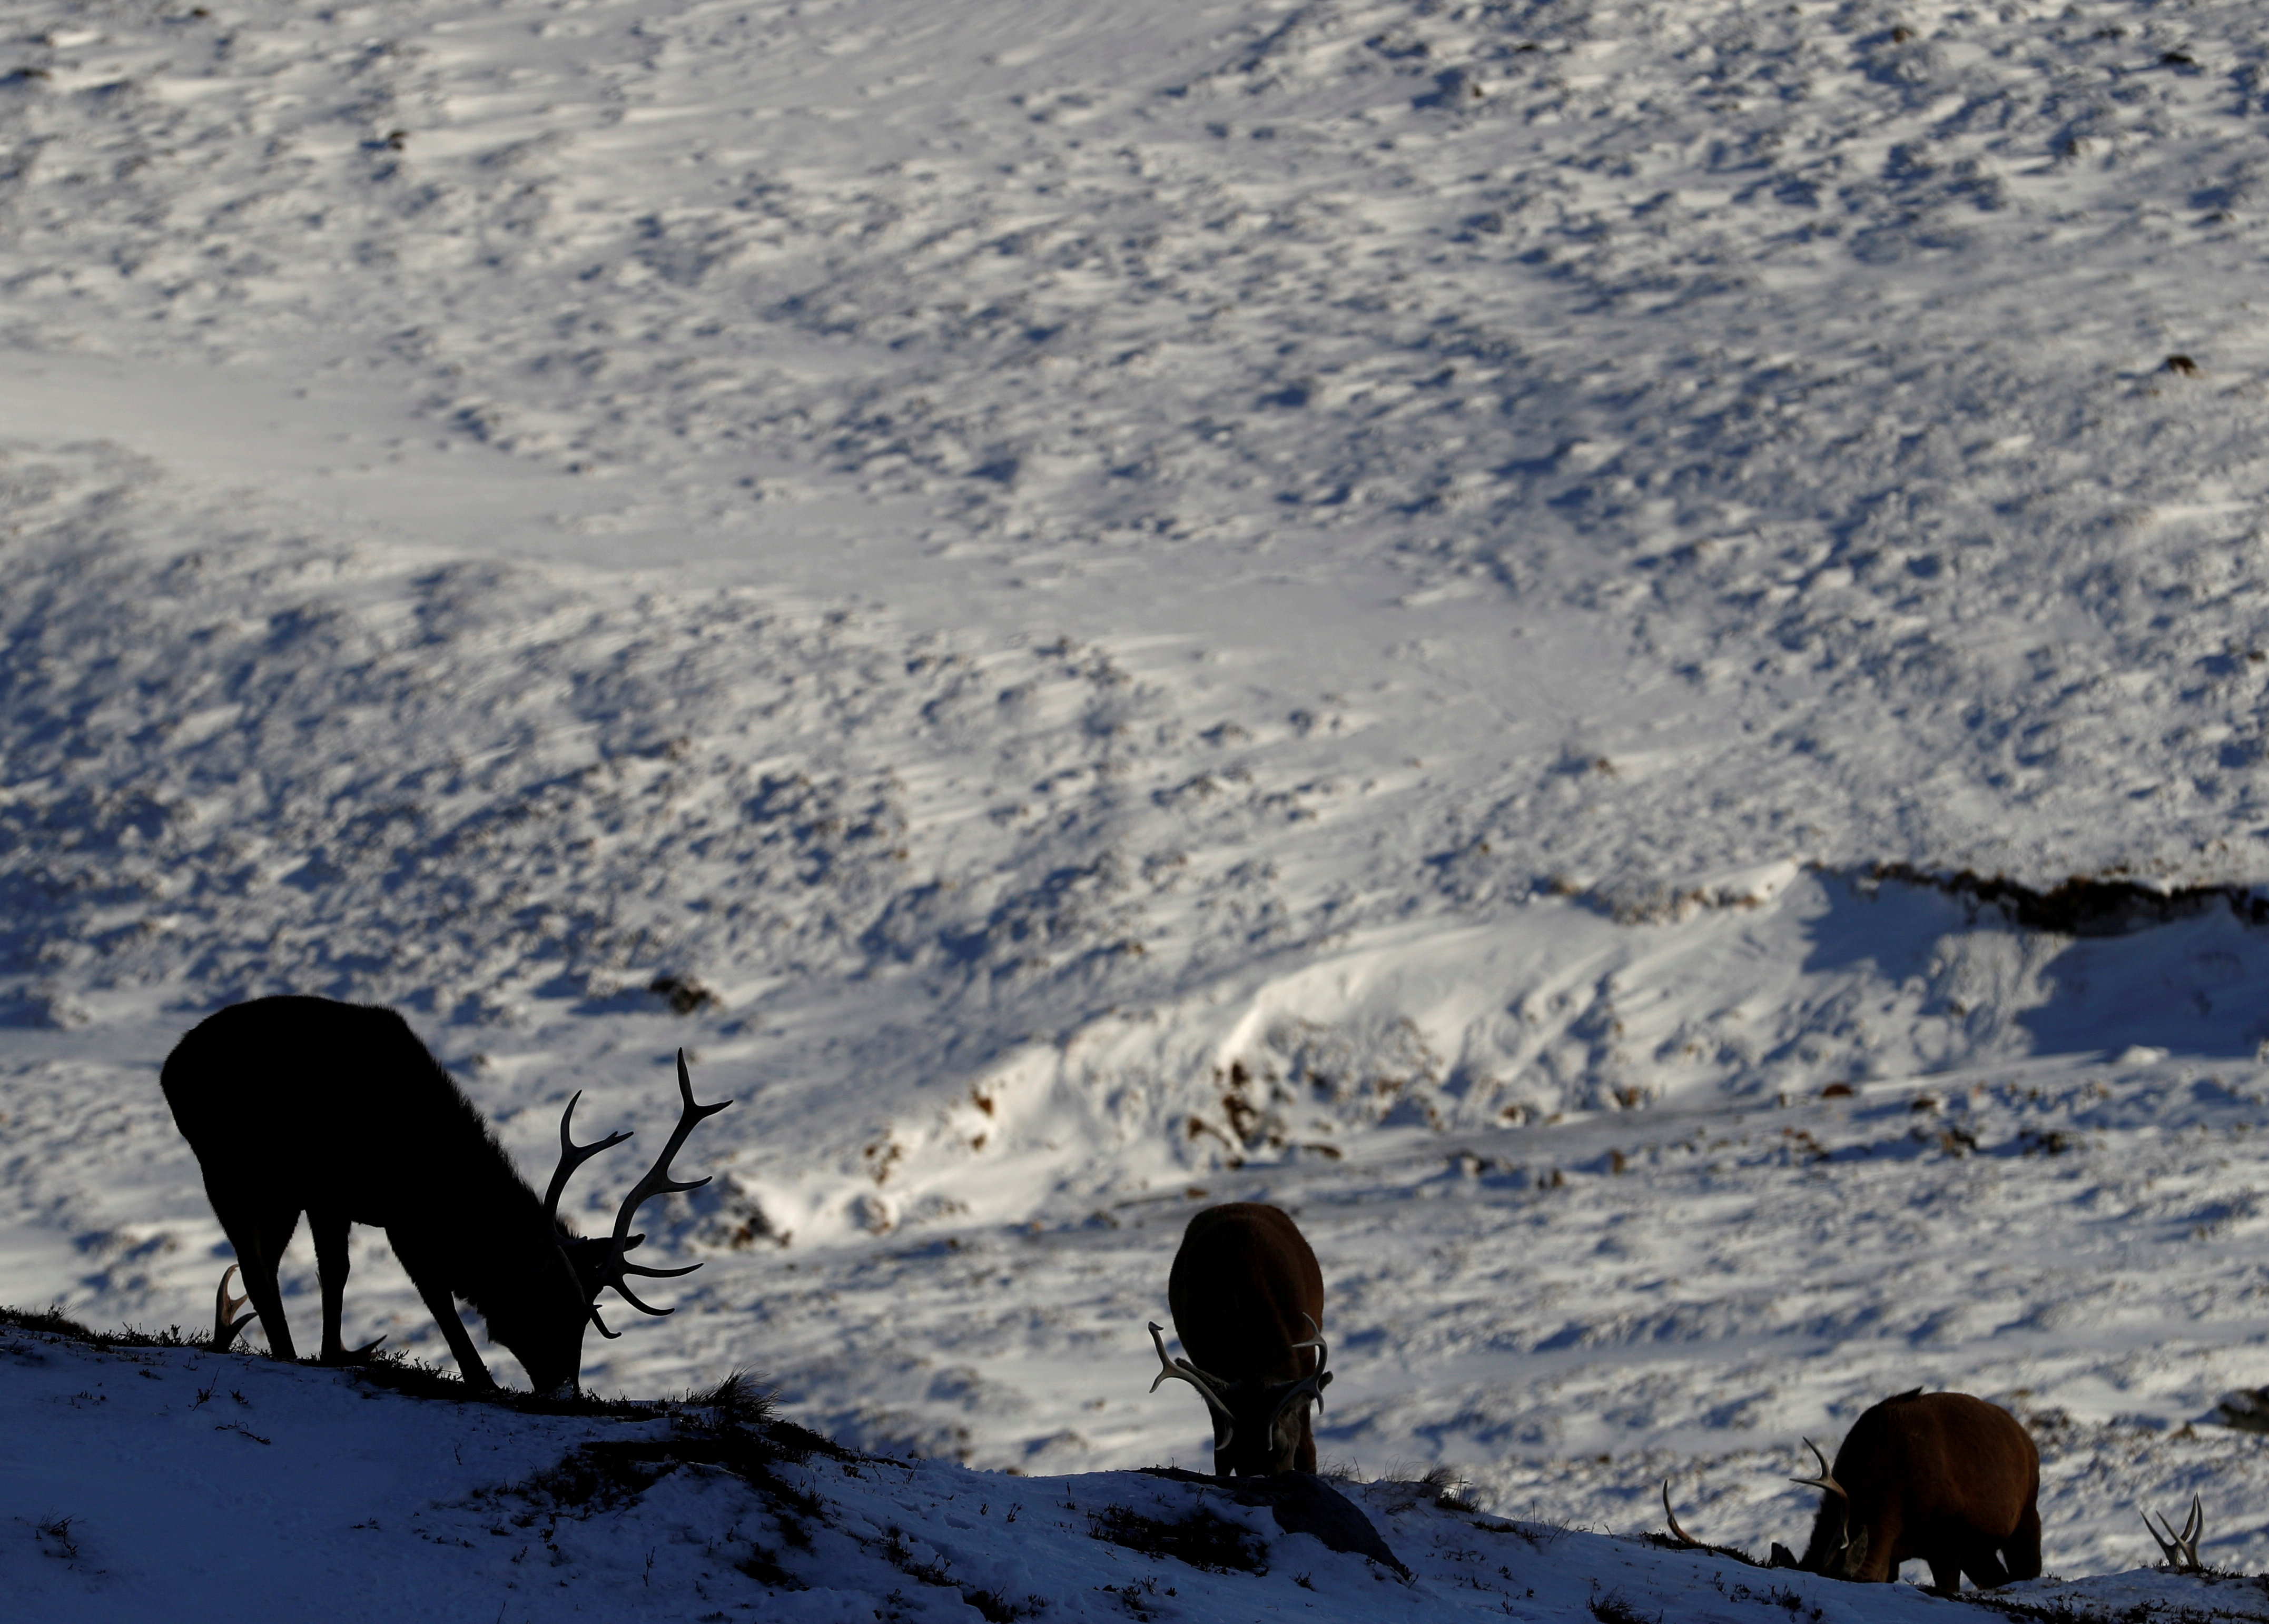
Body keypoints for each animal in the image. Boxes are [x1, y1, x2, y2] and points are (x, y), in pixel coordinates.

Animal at [160, 998, 726, 1388]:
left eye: (590, 1314)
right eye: (554, 1307)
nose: (564, 1385)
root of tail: (170, 1067)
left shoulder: (369, 1209)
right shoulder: (346, 1199)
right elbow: (391, 1283)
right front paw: (477, 1377)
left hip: (274, 1194)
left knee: (263, 1265)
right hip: (226, 1170)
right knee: (254, 1267)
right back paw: (284, 1351)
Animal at [1661, 1388, 2051, 1597]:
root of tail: (2027, 1438)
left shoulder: (1947, 1538)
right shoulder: (1899, 1551)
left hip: (2026, 1514)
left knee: (2027, 1567)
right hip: (1979, 1549)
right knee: (1998, 1577)